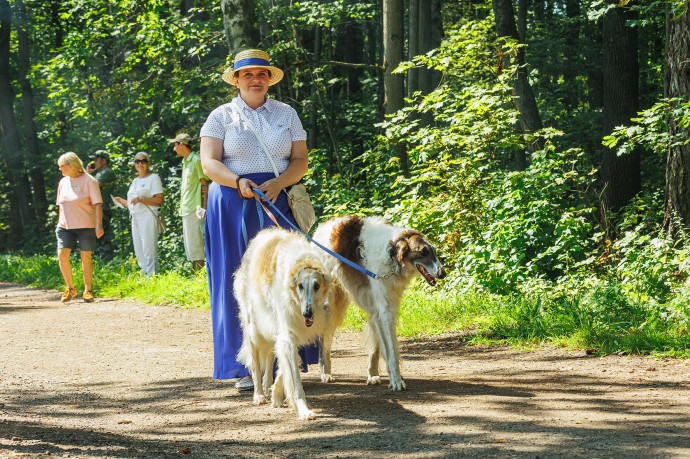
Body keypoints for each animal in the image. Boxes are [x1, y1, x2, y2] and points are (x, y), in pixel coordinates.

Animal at [234, 226, 344, 420]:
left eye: (317, 286)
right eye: (300, 286)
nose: (307, 313)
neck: (303, 262)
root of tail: (262, 235)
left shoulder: (292, 332)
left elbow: (284, 367)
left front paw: (277, 395)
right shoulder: (288, 332)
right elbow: (293, 377)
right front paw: (303, 409)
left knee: (270, 360)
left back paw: (268, 388)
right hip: (254, 328)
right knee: (255, 365)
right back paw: (258, 394)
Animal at [314, 216, 446, 392]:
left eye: (434, 251)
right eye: (423, 252)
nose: (443, 273)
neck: (392, 254)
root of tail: (324, 223)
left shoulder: (385, 307)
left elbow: (384, 348)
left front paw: (379, 376)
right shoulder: (384, 310)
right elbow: (391, 351)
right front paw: (397, 381)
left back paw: (372, 375)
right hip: (329, 304)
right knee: (324, 341)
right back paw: (325, 373)